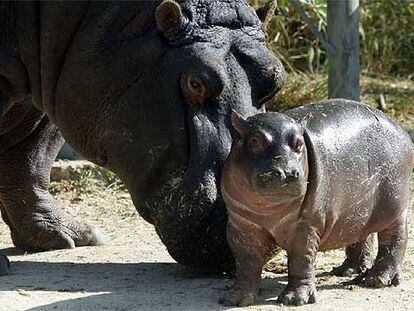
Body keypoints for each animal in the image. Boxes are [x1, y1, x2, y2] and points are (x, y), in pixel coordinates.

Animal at [220, 100, 414, 308]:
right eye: (255, 141)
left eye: (299, 144)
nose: (287, 173)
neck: (267, 211)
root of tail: (402, 130)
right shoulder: (241, 224)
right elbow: (246, 261)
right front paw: (235, 299)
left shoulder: (306, 225)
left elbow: (301, 259)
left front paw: (295, 300)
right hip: (359, 208)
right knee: (362, 233)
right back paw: (347, 271)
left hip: (394, 205)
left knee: (395, 238)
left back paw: (378, 280)